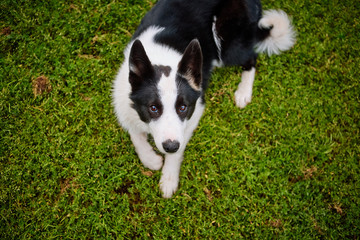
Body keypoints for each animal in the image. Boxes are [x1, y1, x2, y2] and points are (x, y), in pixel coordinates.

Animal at [112, 0, 296, 198]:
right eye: (153, 108)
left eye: (183, 107)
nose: (170, 146)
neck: (162, 59)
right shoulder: (124, 101)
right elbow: (134, 134)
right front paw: (149, 158)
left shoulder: (194, 113)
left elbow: (176, 150)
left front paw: (169, 178)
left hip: (226, 46)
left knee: (251, 58)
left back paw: (243, 92)